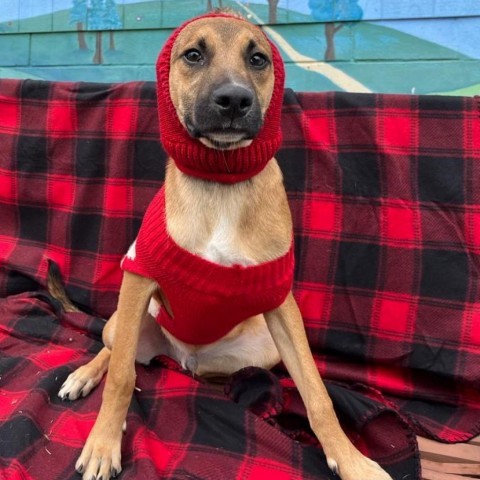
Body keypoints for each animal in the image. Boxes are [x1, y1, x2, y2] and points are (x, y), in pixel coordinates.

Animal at [57, 12, 394, 480]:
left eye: (258, 59)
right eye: (193, 55)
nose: (234, 100)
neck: (221, 182)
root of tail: (179, 355)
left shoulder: (280, 299)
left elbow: (316, 392)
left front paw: (351, 460)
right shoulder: (138, 278)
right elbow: (122, 377)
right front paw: (104, 444)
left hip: (261, 349)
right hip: (123, 321)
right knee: (114, 352)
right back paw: (86, 376)